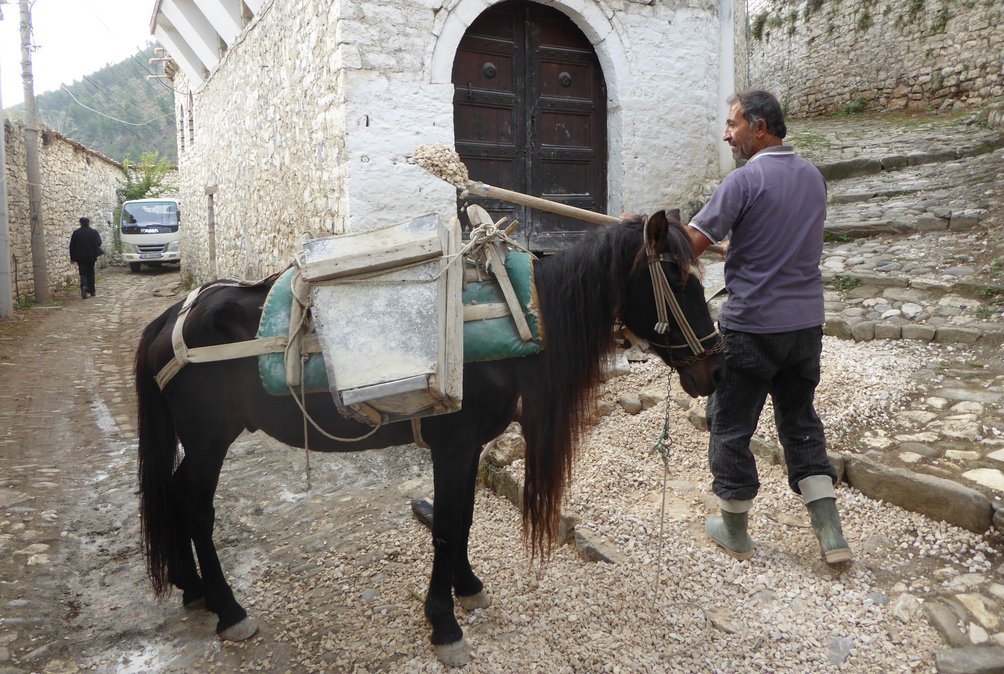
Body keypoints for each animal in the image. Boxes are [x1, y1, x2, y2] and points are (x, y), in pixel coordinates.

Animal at [137, 207, 726, 666]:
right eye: (679, 280)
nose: (715, 371)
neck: (517, 314)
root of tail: (169, 320)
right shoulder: (452, 445)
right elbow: (443, 526)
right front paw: (444, 625)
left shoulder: (469, 448)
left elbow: (462, 519)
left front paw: (468, 588)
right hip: (210, 440)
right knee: (194, 507)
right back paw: (228, 609)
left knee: (172, 493)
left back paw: (192, 588)